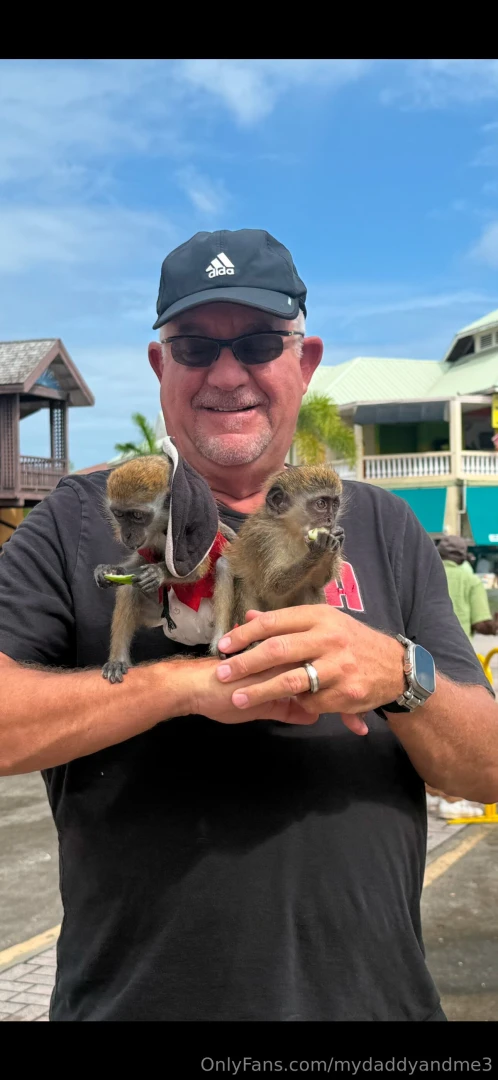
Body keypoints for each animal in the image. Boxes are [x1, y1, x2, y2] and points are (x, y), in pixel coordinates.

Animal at [94, 455, 235, 683]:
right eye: (119, 515)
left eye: (137, 515)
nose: (127, 535)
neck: (162, 526)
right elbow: (138, 562)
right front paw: (110, 570)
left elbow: (197, 570)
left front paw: (158, 573)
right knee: (129, 588)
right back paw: (118, 660)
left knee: (223, 564)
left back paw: (219, 647)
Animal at [209, 464, 345, 657]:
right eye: (321, 504)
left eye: (335, 504)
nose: (330, 520)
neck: (291, 530)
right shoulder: (266, 537)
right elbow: (275, 584)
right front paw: (319, 547)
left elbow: (318, 582)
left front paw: (334, 542)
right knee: (232, 572)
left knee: (310, 586)